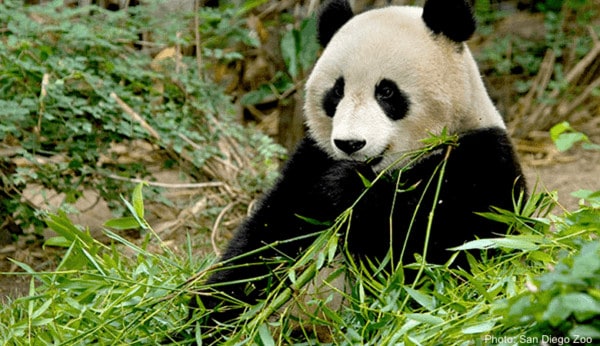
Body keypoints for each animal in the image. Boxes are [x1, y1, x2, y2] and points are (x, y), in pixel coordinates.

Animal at [188, 0, 524, 340]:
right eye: (337, 91)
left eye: (386, 92)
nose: (350, 144)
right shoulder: (311, 160)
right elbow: (264, 242)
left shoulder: (479, 162)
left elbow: (440, 249)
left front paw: (349, 190)